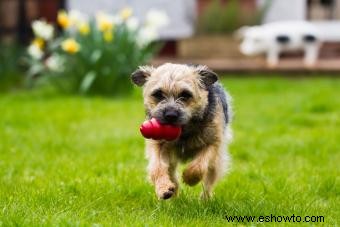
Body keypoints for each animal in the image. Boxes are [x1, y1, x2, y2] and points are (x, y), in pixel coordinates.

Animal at [131, 63, 232, 200]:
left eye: (185, 94)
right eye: (158, 94)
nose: (170, 115)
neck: (184, 132)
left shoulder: (213, 143)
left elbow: (200, 165)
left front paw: (190, 178)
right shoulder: (158, 145)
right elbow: (157, 167)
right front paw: (163, 188)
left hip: (216, 162)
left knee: (209, 181)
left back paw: (205, 199)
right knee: (171, 172)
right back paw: (173, 191)